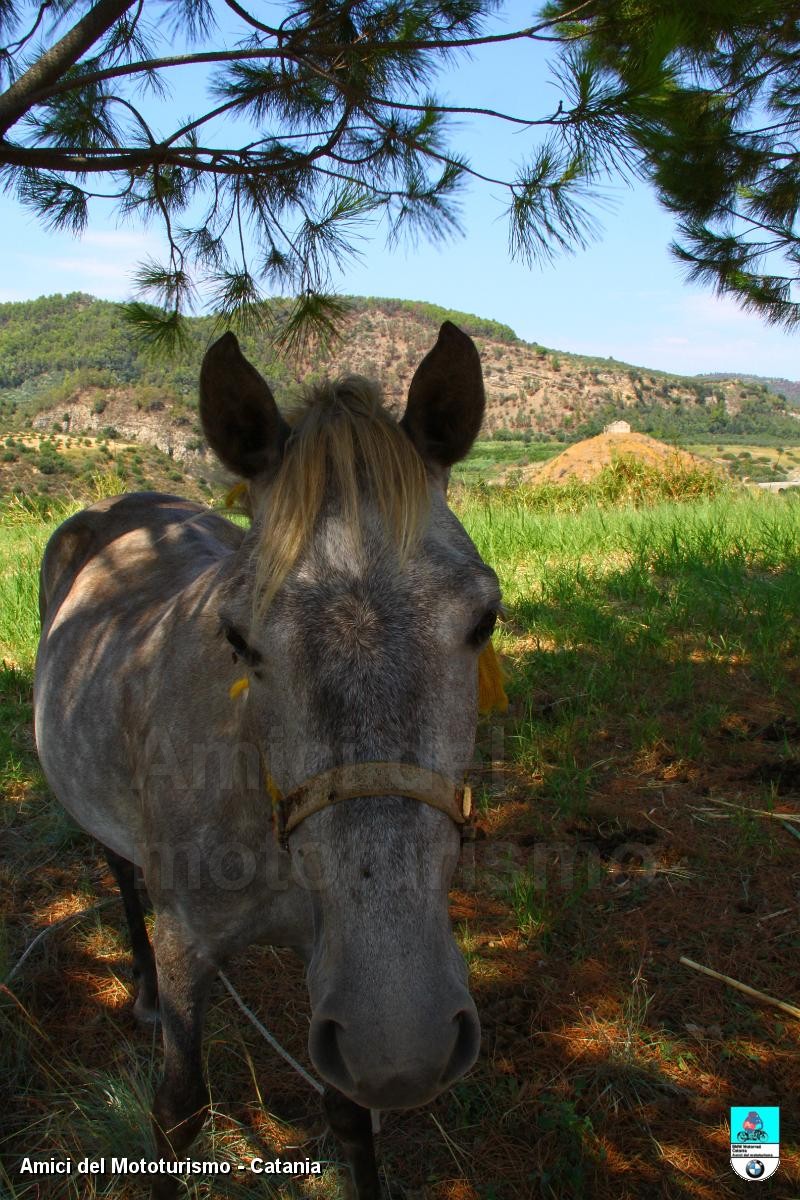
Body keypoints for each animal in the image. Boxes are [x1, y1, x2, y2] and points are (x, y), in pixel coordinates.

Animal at [35, 324, 501, 1195]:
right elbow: (178, 1114)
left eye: (485, 620)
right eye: (238, 638)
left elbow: (351, 1116)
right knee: (117, 869)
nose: (403, 1041)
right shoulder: (188, 944)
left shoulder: (333, 968)